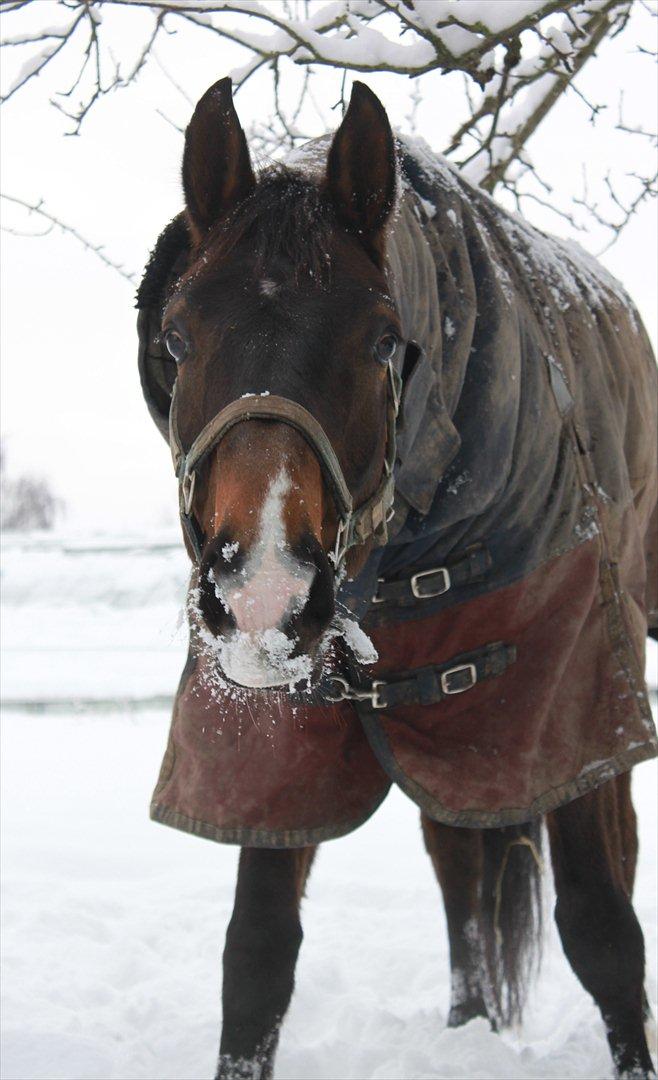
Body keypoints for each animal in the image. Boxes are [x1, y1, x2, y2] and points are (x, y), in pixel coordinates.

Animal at [136, 78, 652, 1080]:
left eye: (383, 341)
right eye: (175, 338)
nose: (262, 594)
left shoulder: (573, 702)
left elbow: (605, 930)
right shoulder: (278, 740)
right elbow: (256, 956)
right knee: (456, 863)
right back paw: (468, 1022)